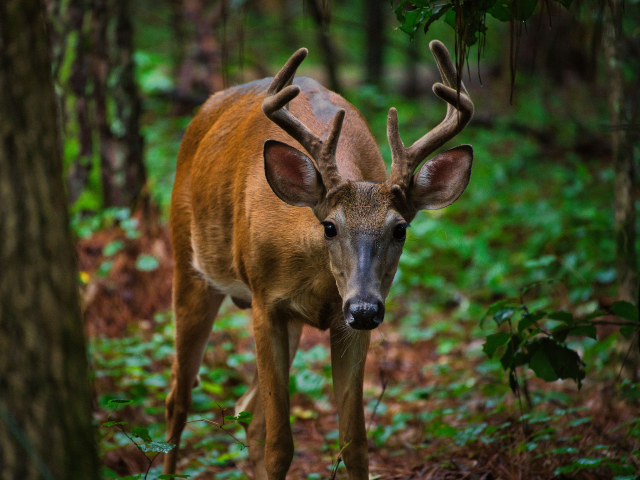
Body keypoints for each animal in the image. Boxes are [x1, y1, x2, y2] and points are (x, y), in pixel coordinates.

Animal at [163, 40, 473, 479]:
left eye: (400, 229)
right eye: (329, 226)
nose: (364, 308)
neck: (321, 284)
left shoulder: (348, 327)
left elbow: (354, 444)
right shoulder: (266, 304)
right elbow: (280, 445)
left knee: (247, 411)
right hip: (189, 267)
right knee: (179, 398)